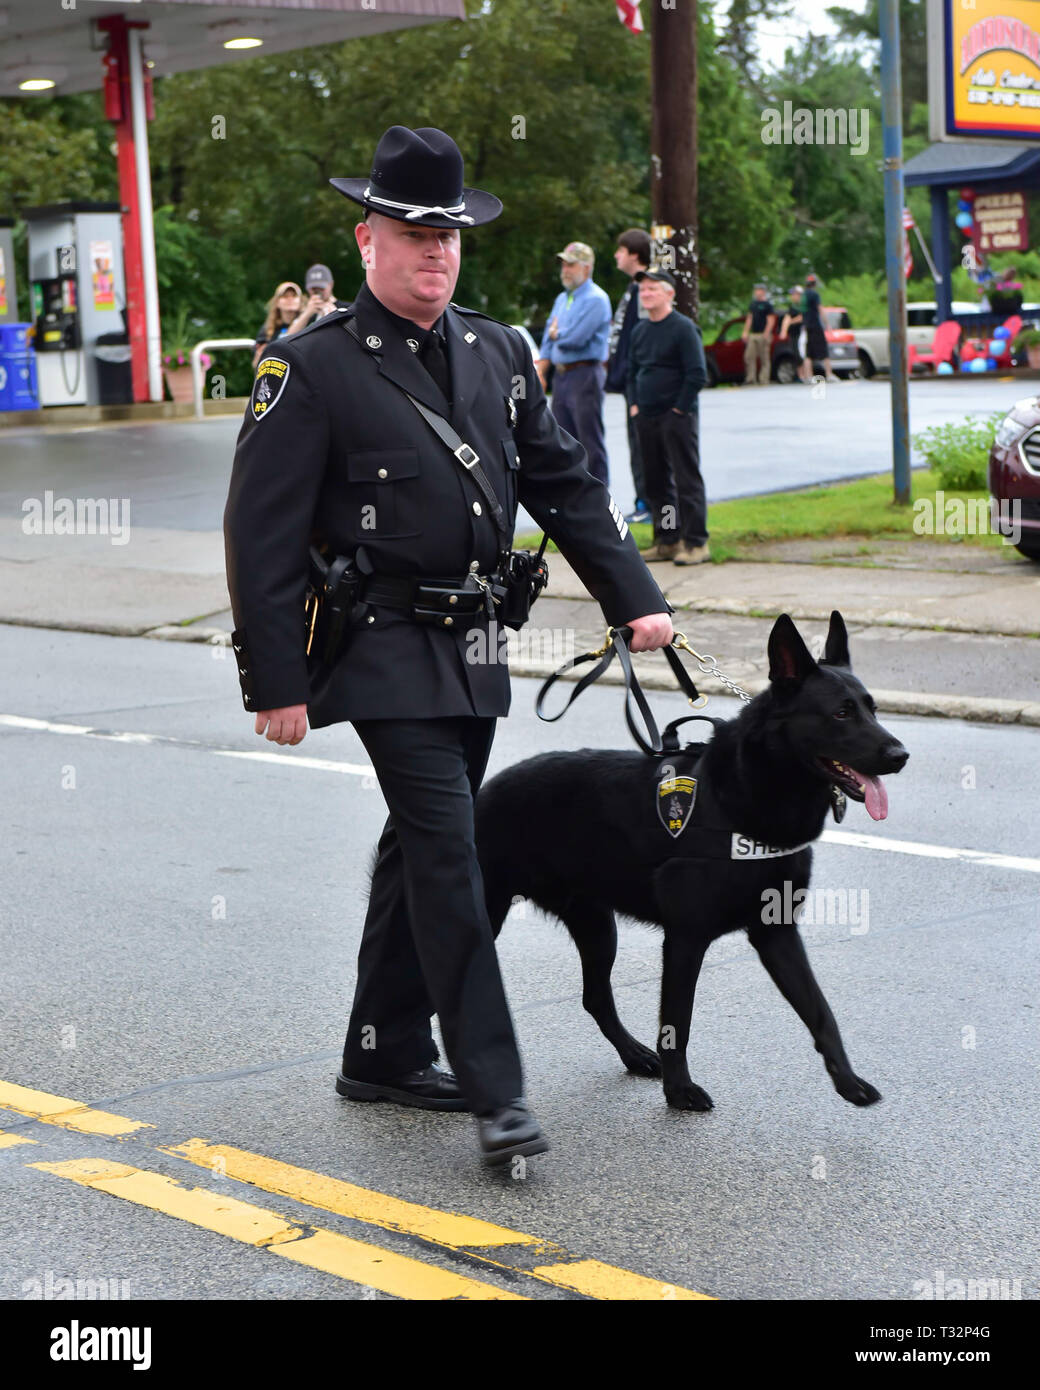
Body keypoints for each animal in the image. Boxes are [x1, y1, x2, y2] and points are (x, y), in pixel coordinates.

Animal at [475, 614, 906, 1112]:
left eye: (873, 709)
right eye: (841, 713)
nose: (900, 756)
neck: (749, 797)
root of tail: (482, 791)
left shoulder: (777, 935)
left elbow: (820, 1011)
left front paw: (848, 1081)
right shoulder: (685, 940)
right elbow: (677, 1021)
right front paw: (679, 1090)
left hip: (597, 928)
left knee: (596, 997)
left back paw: (635, 1055)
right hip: (489, 913)